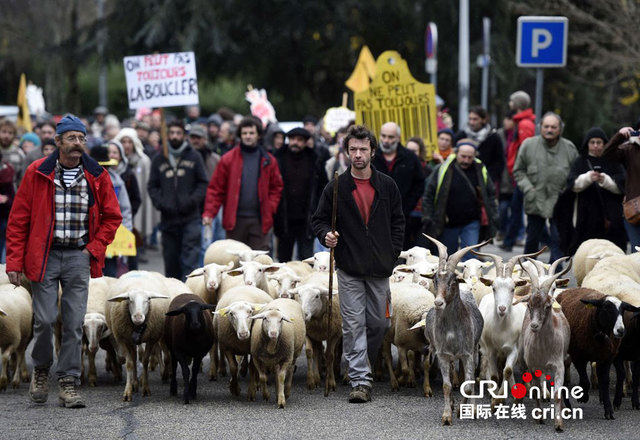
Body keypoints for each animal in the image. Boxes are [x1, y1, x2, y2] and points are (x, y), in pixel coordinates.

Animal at [105, 270, 170, 400]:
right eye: (129, 299)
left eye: (148, 299)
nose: (138, 317)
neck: (138, 326)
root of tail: (138, 271)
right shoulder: (124, 339)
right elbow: (130, 363)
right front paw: (127, 392)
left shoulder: (151, 339)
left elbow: (145, 361)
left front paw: (146, 388)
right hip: (130, 340)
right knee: (134, 358)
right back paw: (134, 383)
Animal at [422, 235, 488, 424]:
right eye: (435, 280)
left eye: (452, 281)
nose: (438, 302)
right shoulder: (442, 355)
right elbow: (446, 385)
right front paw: (447, 415)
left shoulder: (467, 354)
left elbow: (468, 384)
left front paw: (463, 409)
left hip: (474, 351)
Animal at [516, 256, 572, 432]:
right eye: (529, 305)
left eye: (547, 306)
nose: (534, 325)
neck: (544, 347)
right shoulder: (533, 366)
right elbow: (535, 391)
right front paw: (539, 417)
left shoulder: (559, 365)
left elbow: (557, 394)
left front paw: (559, 423)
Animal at [556, 288, 636, 420]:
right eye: (606, 308)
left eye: (623, 310)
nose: (621, 330)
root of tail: (569, 289)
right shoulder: (578, 356)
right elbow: (585, 381)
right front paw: (583, 397)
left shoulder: (607, 358)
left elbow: (605, 381)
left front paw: (608, 410)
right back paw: (567, 406)